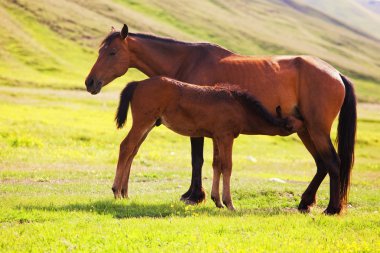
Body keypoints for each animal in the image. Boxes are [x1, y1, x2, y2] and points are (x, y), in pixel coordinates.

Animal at [113, 76, 302, 210]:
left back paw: (125, 193)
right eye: (292, 123)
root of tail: (138, 83)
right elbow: (227, 166)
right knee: (126, 146)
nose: (304, 124)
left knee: (133, 151)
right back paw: (116, 191)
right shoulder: (226, 137)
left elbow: (216, 165)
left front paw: (217, 200)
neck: (238, 105)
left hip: (149, 125)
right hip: (143, 122)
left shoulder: (216, 137)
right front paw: (229, 203)